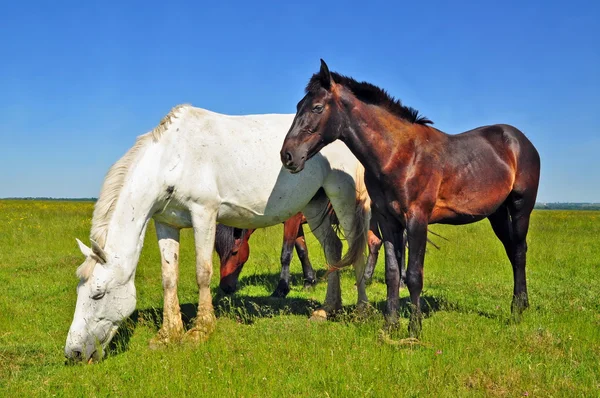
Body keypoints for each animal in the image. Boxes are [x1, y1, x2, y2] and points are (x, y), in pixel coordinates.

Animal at [63, 104, 368, 362]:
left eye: (98, 295)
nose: (73, 352)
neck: (173, 157)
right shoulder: (165, 223)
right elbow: (168, 278)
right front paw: (167, 334)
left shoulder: (204, 214)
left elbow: (203, 272)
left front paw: (200, 330)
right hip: (316, 204)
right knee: (333, 249)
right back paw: (327, 309)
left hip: (342, 197)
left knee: (356, 247)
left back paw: (361, 310)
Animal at [278, 60, 540, 338]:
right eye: (299, 106)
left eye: (317, 107)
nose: (288, 155)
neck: (399, 155)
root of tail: (519, 140)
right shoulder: (388, 221)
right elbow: (392, 272)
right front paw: (390, 324)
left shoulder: (417, 220)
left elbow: (414, 274)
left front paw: (414, 329)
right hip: (497, 214)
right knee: (512, 250)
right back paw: (520, 305)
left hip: (520, 207)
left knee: (519, 251)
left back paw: (517, 310)